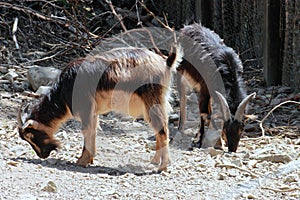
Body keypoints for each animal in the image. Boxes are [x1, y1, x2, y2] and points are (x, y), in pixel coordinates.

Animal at [18, 46, 184, 171]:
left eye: (31, 136)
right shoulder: (93, 112)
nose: (42, 155)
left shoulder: (86, 108)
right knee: (159, 129)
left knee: (163, 130)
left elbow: (87, 131)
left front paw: (82, 161)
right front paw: (89, 159)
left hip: (152, 101)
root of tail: (165, 63)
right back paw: (155, 161)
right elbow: (93, 131)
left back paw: (163, 166)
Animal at [176, 23, 255, 152]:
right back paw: (180, 128)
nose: (232, 149)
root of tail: (188, 27)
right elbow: (204, 112)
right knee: (182, 94)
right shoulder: (204, 87)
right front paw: (205, 142)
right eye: (225, 128)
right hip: (181, 69)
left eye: (242, 128)